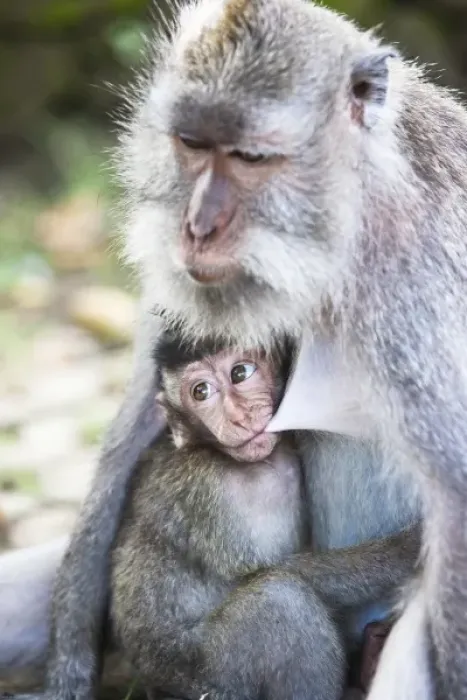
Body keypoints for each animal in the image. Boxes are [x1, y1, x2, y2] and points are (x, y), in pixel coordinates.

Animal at [109, 330, 419, 700]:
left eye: (240, 373)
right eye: (201, 392)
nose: (238, 417)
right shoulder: (212, 492)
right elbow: (273, 572)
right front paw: (408, 548)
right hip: (209, 678)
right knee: (279, 598)